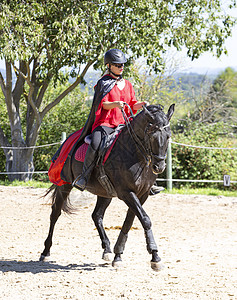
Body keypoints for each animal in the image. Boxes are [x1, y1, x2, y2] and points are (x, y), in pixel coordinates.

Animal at [40, 104, 174, 270]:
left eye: (168, 136)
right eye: (152, 136)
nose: (159, 166)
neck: (134, 153)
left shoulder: (141, 195)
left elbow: (130, 222)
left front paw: (118, 255)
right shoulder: (126, 193)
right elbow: (145, 219)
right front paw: (155, 256)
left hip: (105, 193)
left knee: (96, 216)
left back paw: (107, 249)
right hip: (64, 185)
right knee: (55, 214)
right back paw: (45, 252)